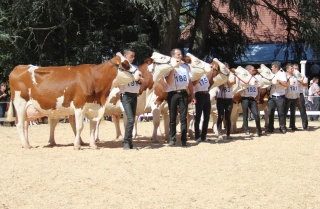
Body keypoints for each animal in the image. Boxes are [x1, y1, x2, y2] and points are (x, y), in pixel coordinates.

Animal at [6, 54, 140, 149]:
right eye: (125, 64)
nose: (139, 73)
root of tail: (19, 67)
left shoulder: (93, 107)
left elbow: (92, 126)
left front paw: (93, 145)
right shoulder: (79, 105)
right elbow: (80, 126)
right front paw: (77, 145)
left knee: (25, 124)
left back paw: (26, 143)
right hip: (20, 104)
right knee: (19, 123)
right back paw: (26, 145)